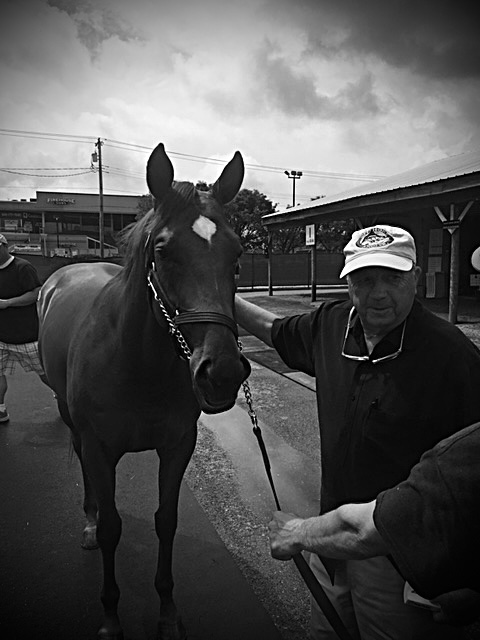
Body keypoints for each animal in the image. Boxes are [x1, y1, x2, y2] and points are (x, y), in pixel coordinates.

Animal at [37, 143, 251, 640]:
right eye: (163, 251)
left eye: (236, 254)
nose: (223, 373)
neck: (136, 363)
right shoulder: (99, 449)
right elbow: (113, 528)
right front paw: (111, 617)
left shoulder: (178, 446)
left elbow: (166, 521)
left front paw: (168, 613)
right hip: (72, 422)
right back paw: (89, 522)